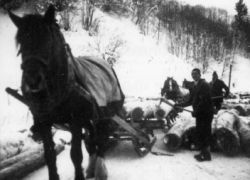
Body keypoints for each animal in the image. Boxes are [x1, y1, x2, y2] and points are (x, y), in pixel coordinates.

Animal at [8, 5, 124, 180]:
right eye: (21, 43)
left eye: (48, 41)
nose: (32, 81)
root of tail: (105, 63)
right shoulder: (43, 122)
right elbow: (49, 155)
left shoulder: (75, 120)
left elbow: (75, 155)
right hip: (90, 118)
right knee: (92, 139)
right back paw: (91, 168)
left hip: (105, 114)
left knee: (101, 138)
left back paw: (100, 170)